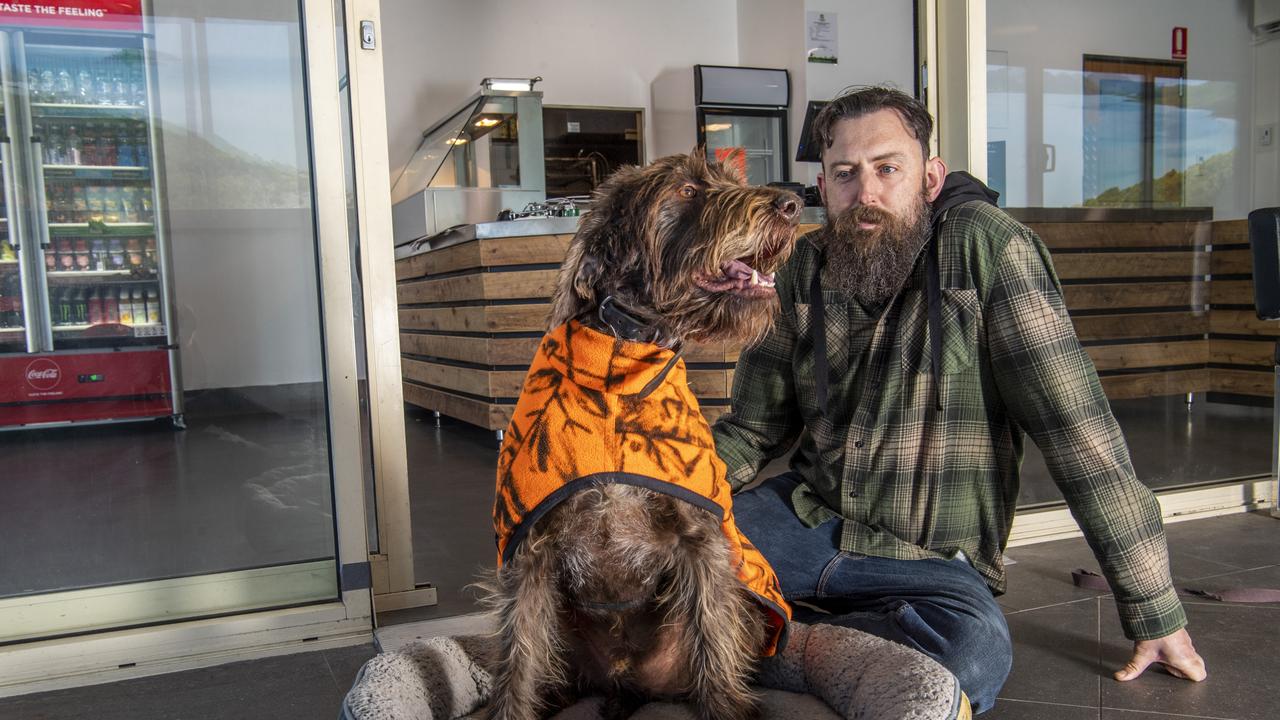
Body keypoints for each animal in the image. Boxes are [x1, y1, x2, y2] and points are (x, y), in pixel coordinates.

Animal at [486, 152, 798, 717]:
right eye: (688, 189)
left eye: (730, 181)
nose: (792, 203)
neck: (622, 361)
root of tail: (625, 680)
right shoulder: (529, 556)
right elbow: (516, 661)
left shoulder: (702, 543)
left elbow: (713, 642)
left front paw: (726, 705)